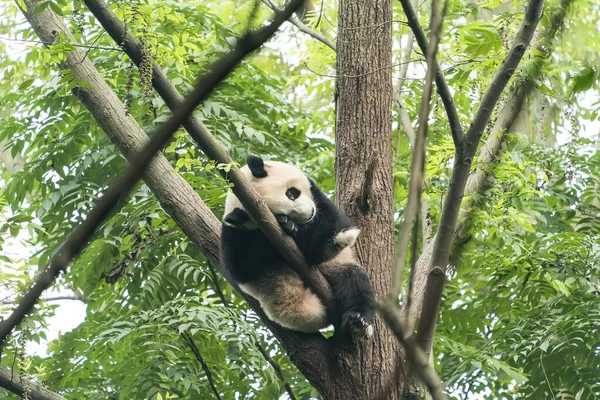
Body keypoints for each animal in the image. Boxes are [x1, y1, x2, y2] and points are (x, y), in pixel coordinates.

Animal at [220, 155, 376, 336]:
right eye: (278, 213)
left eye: (291, 193)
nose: (309, 213)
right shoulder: (234, 235)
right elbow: (243, 266)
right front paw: (287, 226)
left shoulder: (317, 196)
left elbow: (331, 224)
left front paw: (293, 228)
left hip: (335, 267)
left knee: (354, 282)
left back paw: (357, 320)